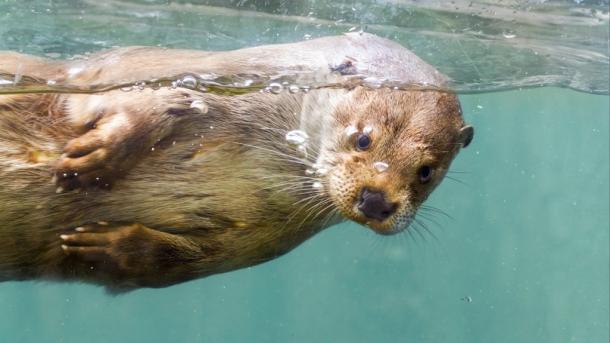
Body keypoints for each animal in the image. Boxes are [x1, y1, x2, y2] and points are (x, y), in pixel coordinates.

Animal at [0, 33, 470, 292]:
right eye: (363, 138)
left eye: (426, 171)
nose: (376, 201)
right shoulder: (150, 72)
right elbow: (146, 103)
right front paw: (95, 158)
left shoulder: (265, 240)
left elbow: (184, 262)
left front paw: (111, 247)